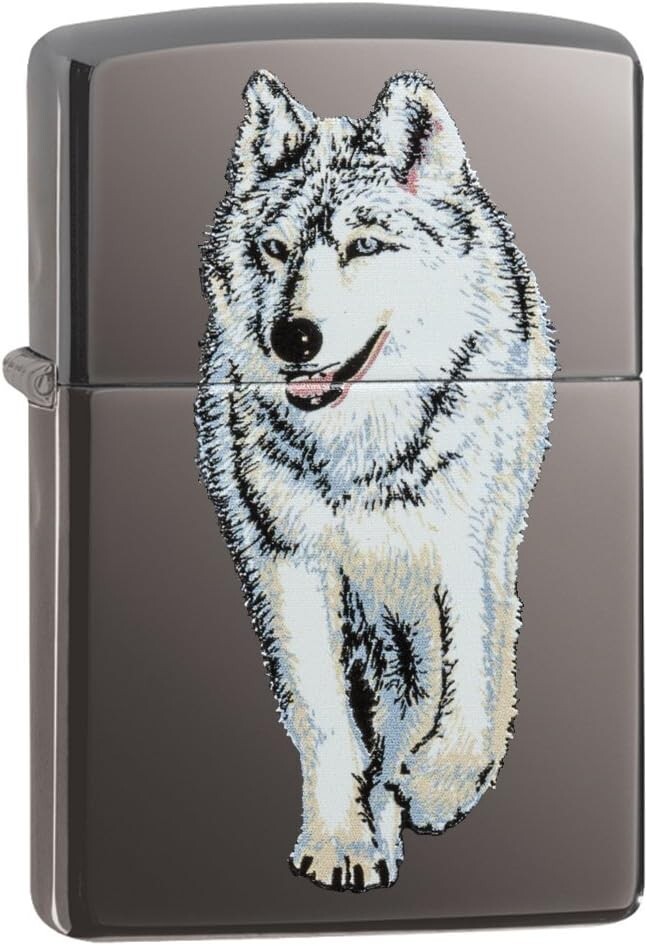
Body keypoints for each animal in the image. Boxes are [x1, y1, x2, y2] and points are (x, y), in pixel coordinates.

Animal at [194, 69, 556, 892]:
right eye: (275, 249)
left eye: (364, 245)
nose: (292, 338)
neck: (363, 453)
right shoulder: (292, 566)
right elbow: (326, 717)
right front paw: (342, 840)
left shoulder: (468, 549)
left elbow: (476, 672)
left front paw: (444, 781)